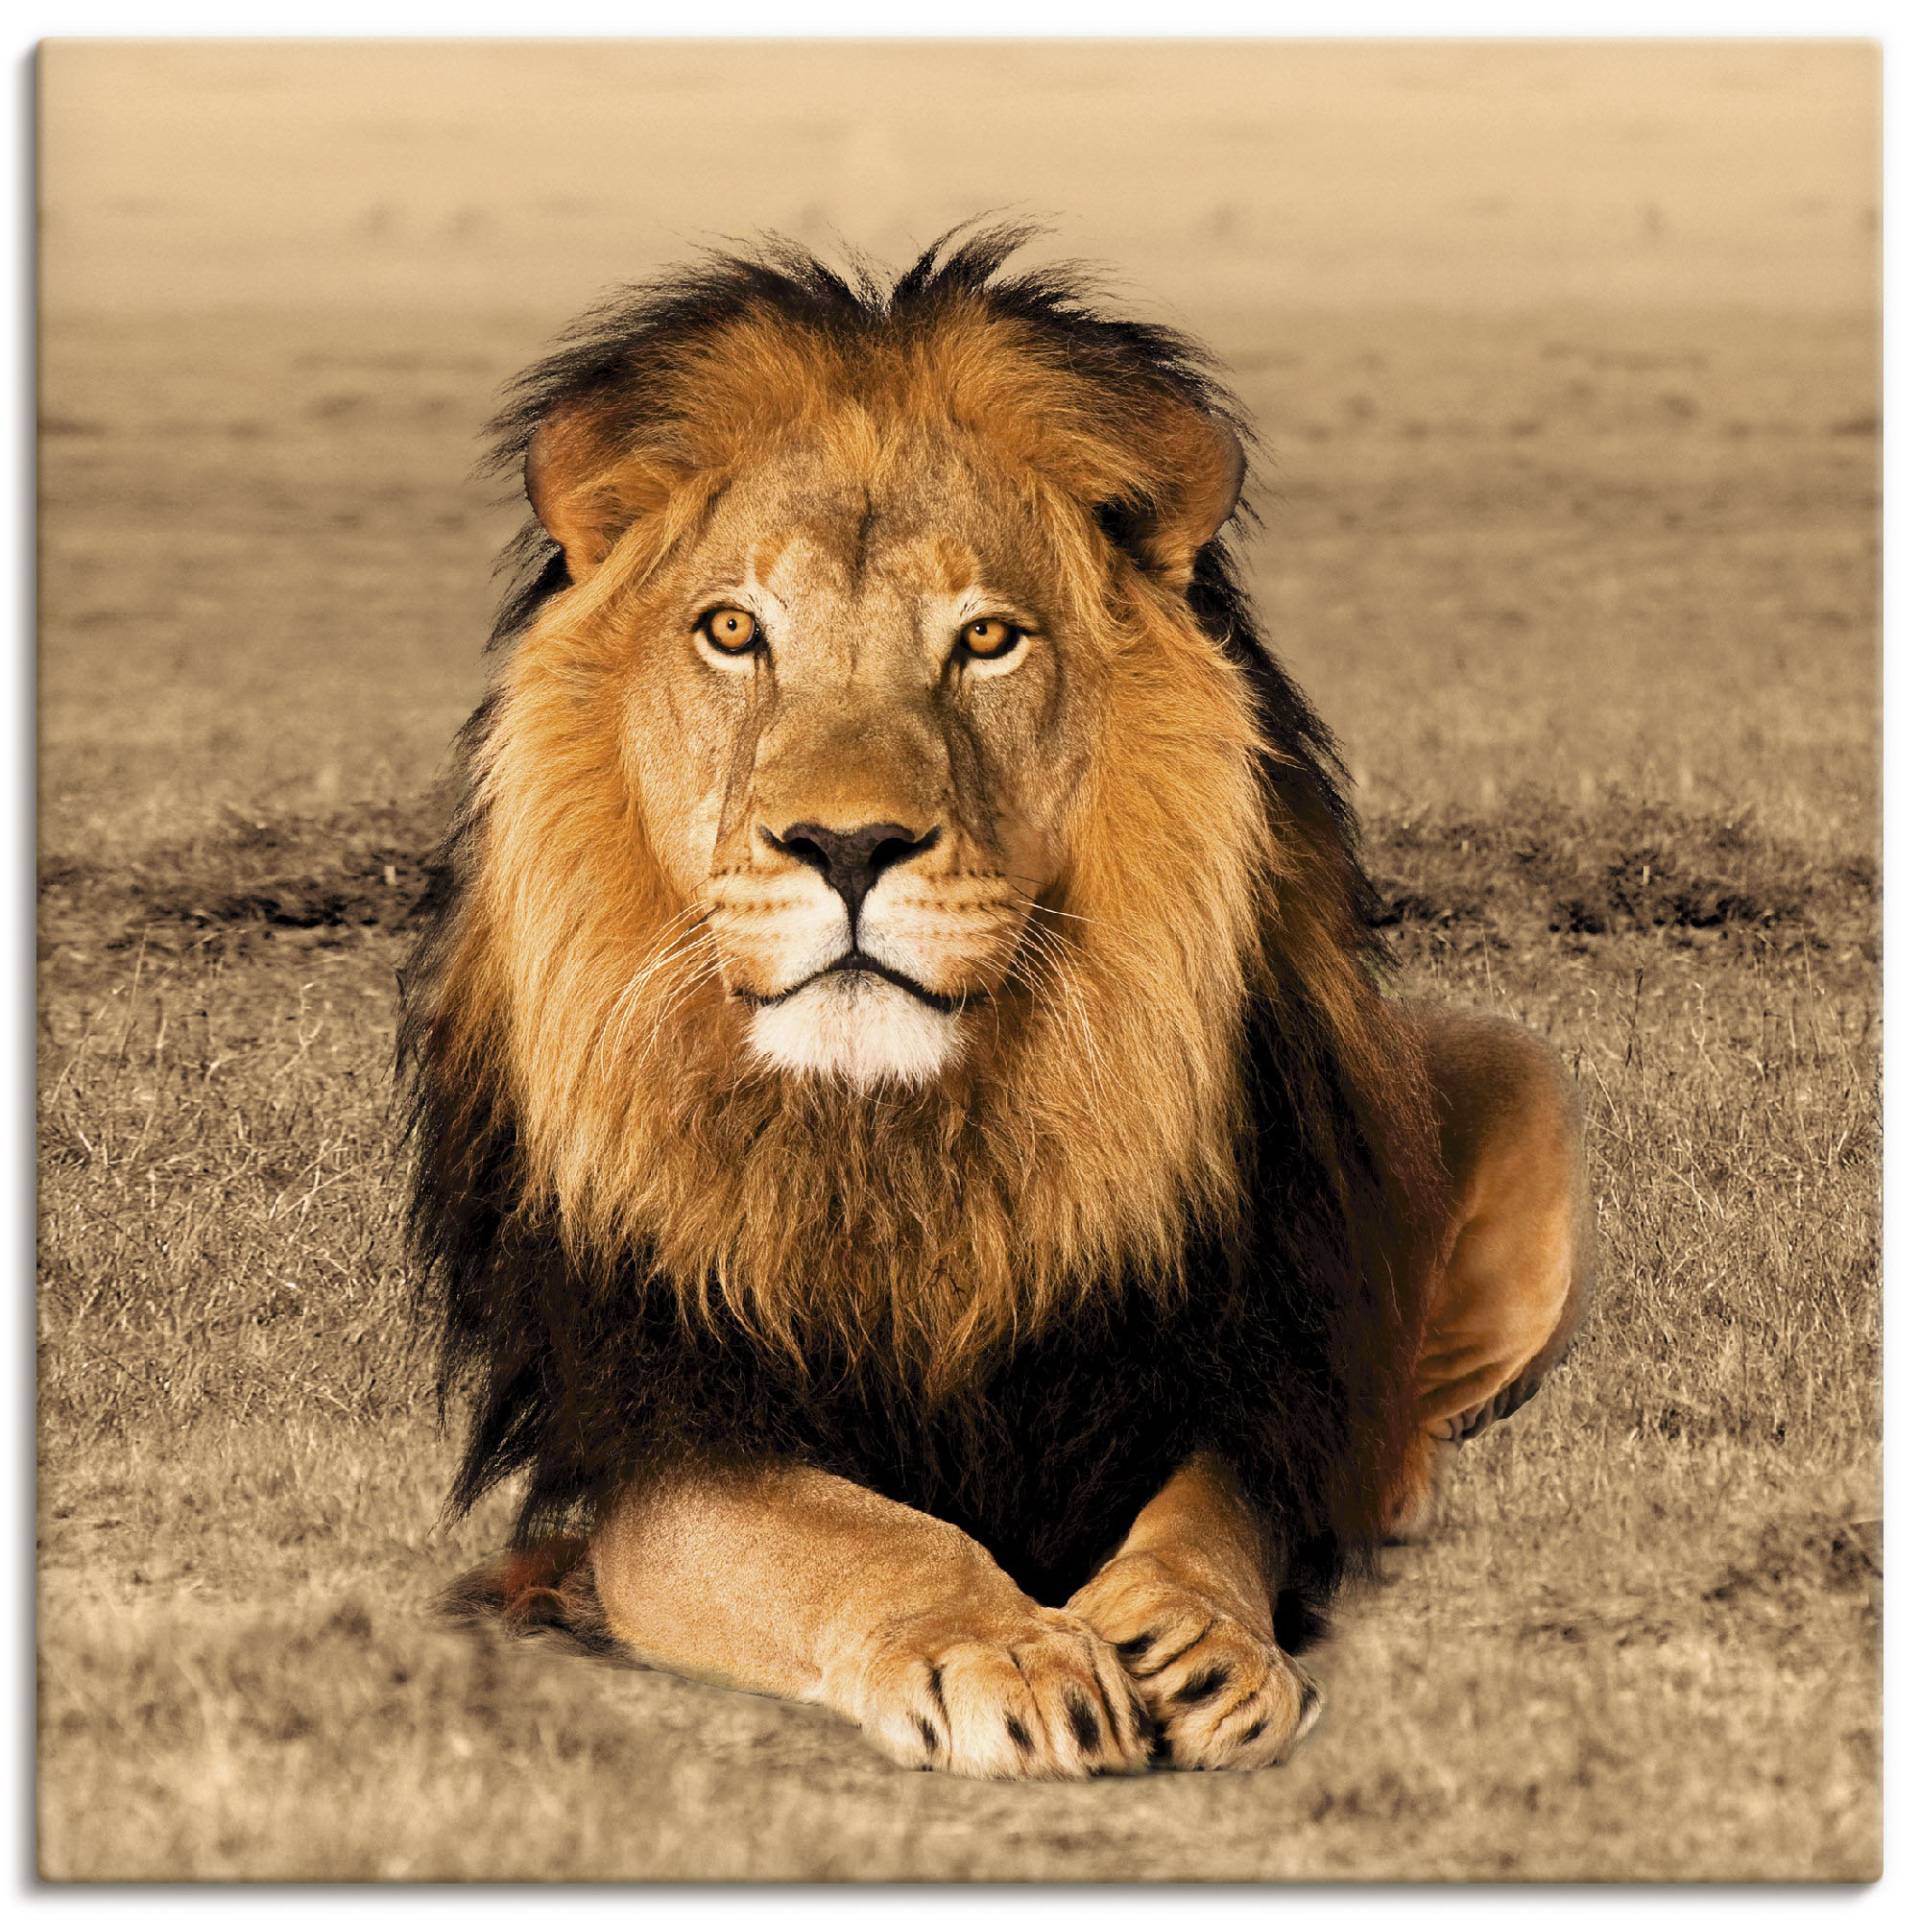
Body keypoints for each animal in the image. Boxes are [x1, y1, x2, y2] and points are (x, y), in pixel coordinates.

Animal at [401, 226, 1592, 1780]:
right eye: (732, 630)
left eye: (985, 641)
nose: (848, 845)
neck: (903, 1143)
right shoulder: (660, 1432)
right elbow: (849, 1534)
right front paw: (1008, 1648)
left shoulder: (1221, 1366)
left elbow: (1215, 1512)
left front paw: (1194, 1638)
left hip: (1519, 1079)